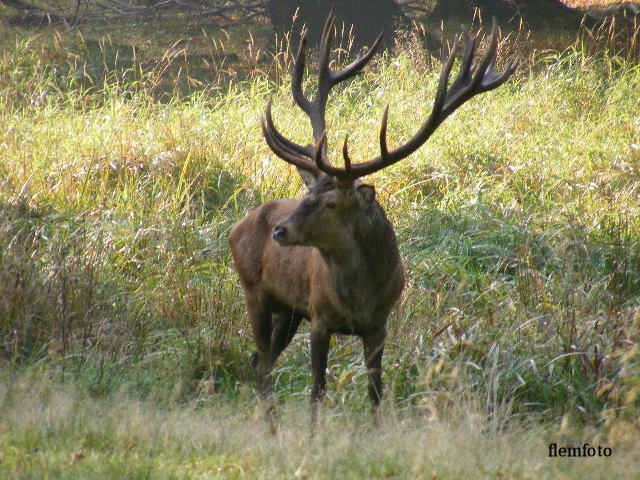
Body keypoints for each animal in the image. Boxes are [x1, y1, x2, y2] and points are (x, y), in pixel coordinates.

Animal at [230, 12, 516, 432]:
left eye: (330, 202)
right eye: (306, 195)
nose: (280, 231)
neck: (359, 299)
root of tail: (236, 228)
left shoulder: (379, 324)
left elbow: (376, 393)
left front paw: (376, 435)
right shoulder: (319, 317)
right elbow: (317, 390)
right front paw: (313, 439)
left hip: (288, 309)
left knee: (258, 360)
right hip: (255, 292)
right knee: (262, 362)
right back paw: (272, 430)